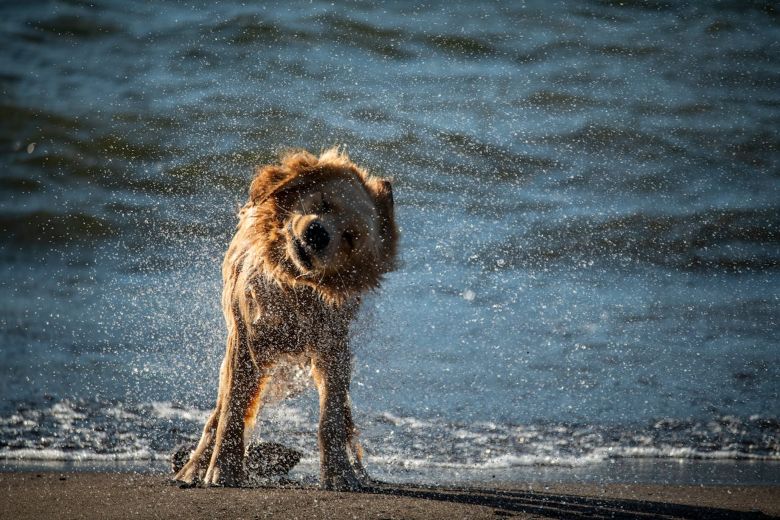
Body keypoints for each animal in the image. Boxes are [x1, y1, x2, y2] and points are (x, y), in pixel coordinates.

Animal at [174, 148, 400, 490]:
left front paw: (339, 471)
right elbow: (233, 407)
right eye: (324, 203)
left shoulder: (332, 344)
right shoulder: (247, 335)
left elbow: (332, 414)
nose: (318, 233)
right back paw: (193, 467)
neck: (293, 285)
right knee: (217, 411)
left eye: (349, 238)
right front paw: (223, 468)